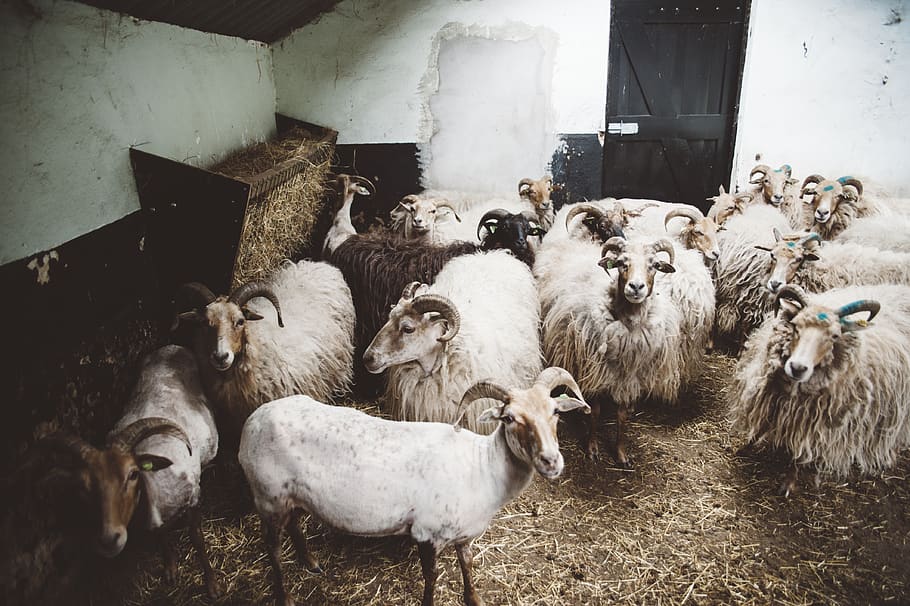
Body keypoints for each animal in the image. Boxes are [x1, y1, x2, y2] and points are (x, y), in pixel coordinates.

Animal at [238, 367, 591, 606]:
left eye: (556, 412)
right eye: (509, 419)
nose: (551, 461)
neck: (483, 468)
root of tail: (252, 421)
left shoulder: (464, 535)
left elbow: (467, 565)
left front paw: (474, 598)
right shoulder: (427, 532)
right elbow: (431, 577)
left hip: (293, 494)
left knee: (295, 523)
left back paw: (310, 563)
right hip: (268, 496)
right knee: (272, 547)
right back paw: (284, 595)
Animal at [535, 234, 688, 466]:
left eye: (654, 265)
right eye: (621, 263)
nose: (636, 287)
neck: (629, 323)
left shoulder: (629, 376)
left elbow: (622, 416)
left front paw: (621, 454)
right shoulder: (596, 371)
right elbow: (595, 412)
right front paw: (592, 448)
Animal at [728, 283, 910, 495]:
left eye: (834, 336)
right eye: (796, 326)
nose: (797, 368)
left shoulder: (818, 420)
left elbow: (800, 452)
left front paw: (789, 483)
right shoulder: (772, 395)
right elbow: (763, 423)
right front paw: (744, 447)